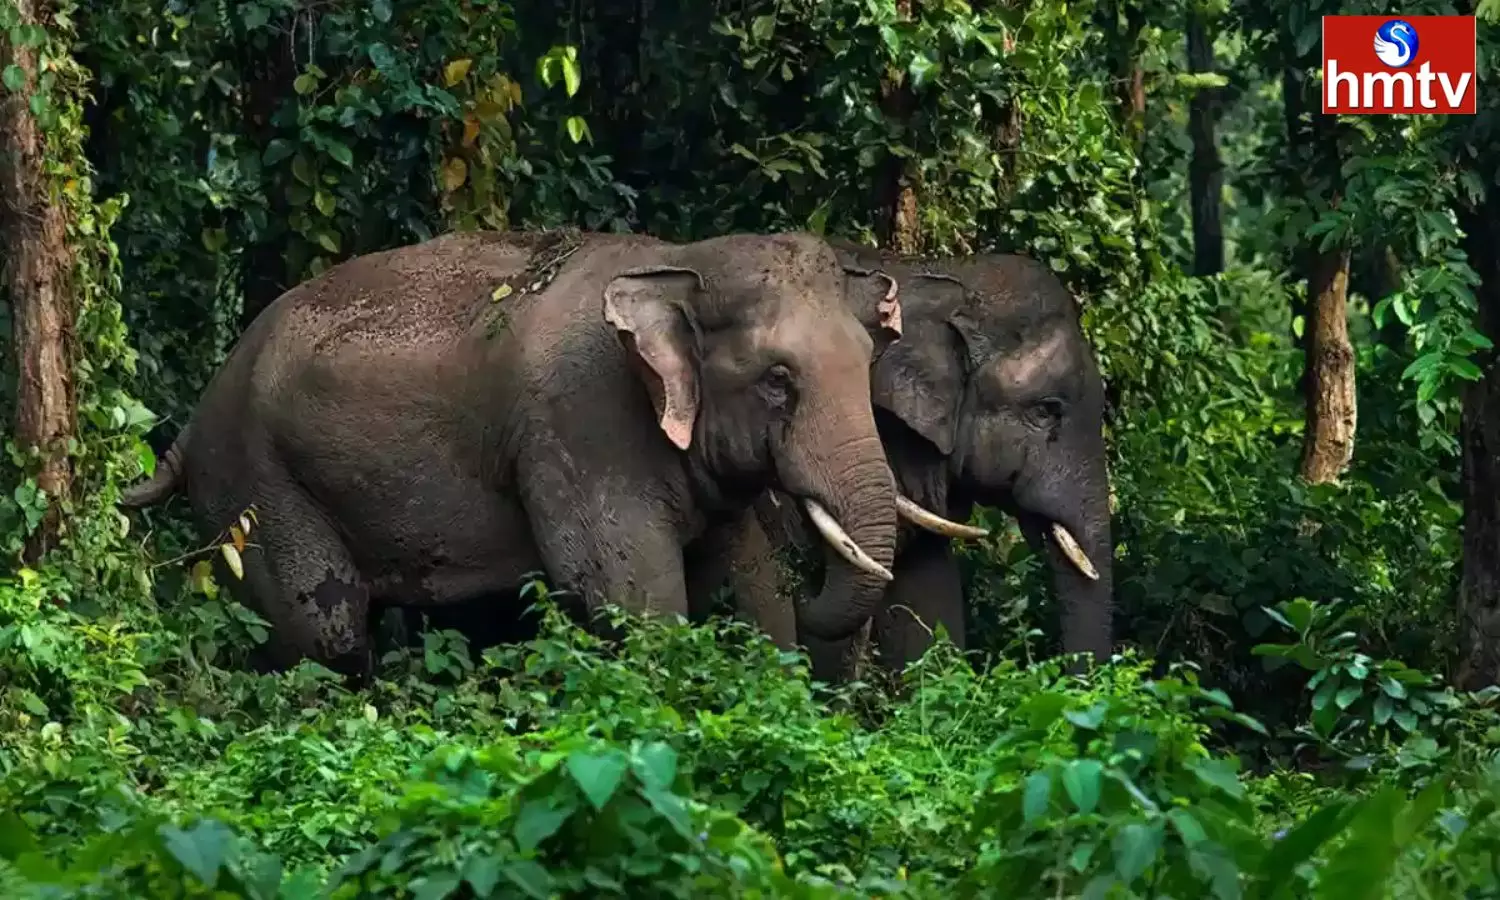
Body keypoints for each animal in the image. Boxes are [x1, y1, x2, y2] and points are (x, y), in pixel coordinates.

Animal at [117, 228, 978, 682]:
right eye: (778, 381)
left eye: (868, 359)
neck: (679, 262)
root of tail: (193, 421)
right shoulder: (581, 424)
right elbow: (628, 597)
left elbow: (752, 584)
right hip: (256, 485)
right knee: (321, 638)